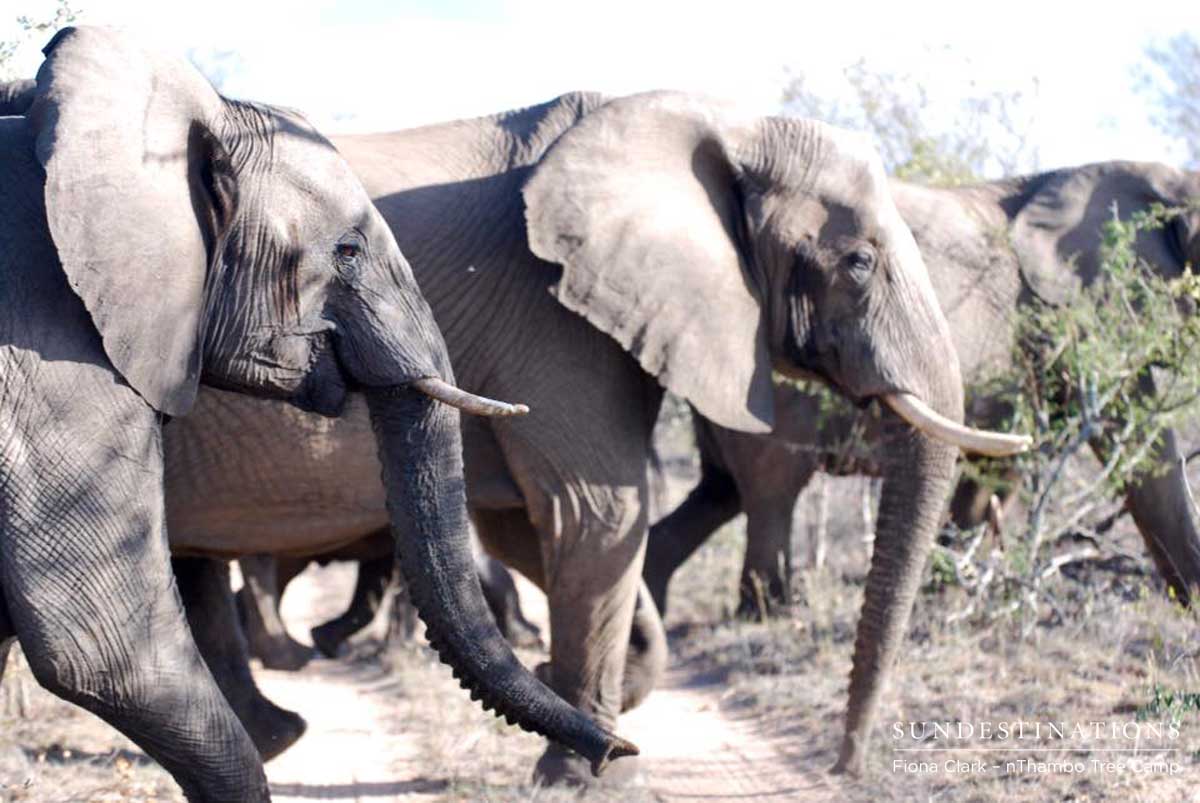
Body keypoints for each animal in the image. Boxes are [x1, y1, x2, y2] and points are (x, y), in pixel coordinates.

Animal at [154, 89, 1028, 784]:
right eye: (857, 262)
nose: (846, 763)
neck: (717, 121)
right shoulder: (555, 321)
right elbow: (595, 515)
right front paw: (574, 772)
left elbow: (541, 530)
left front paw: (590, 695)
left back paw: (281, 728)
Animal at [644, 160, 1200, 618]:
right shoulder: (1075, 312)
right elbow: (1139, 442)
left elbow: (998, 470)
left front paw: (943, 590)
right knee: (771, 489)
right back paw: (772, 614)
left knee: (721, 491)